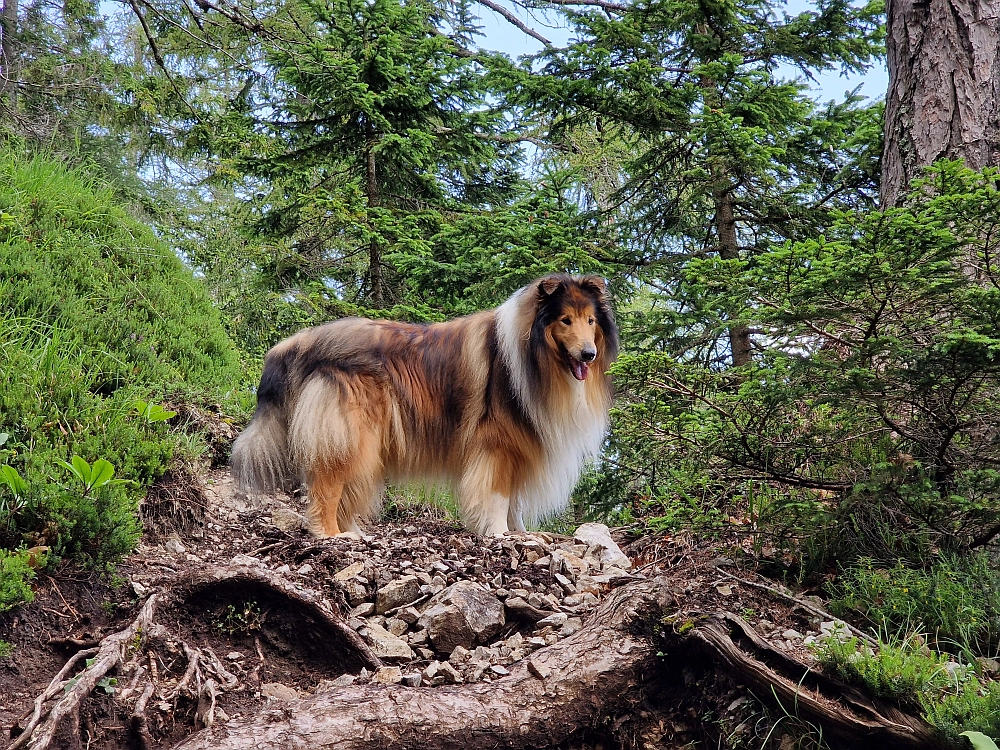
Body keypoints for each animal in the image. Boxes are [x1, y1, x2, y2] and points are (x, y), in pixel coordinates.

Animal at [231, 274, 616, 536]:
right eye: (565, 320)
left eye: (590, 320)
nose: (588, 354)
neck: (530, 355)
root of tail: (300, 340)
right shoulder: (496, 446)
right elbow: (497, 497)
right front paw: (498, 534)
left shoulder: (520, 446)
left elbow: (514, 502)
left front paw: (521, 534)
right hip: (349, 436)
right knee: (326, 487)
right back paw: (330, 535)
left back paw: (353, 533)